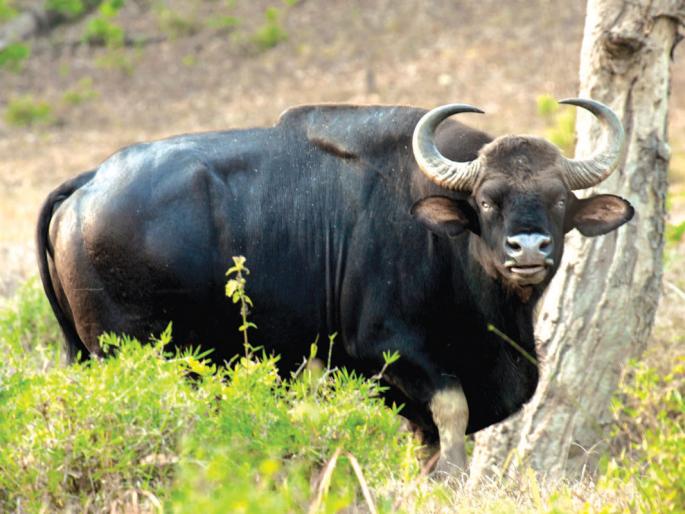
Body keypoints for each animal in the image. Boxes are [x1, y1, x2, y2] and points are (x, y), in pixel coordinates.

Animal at [37, 99, 633, 475]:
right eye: (487, 200)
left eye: (558, 199)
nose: (528, 249)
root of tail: (88, 183)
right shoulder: (394, 351)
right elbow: (453, 416)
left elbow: (430, 440)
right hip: (139, 356)